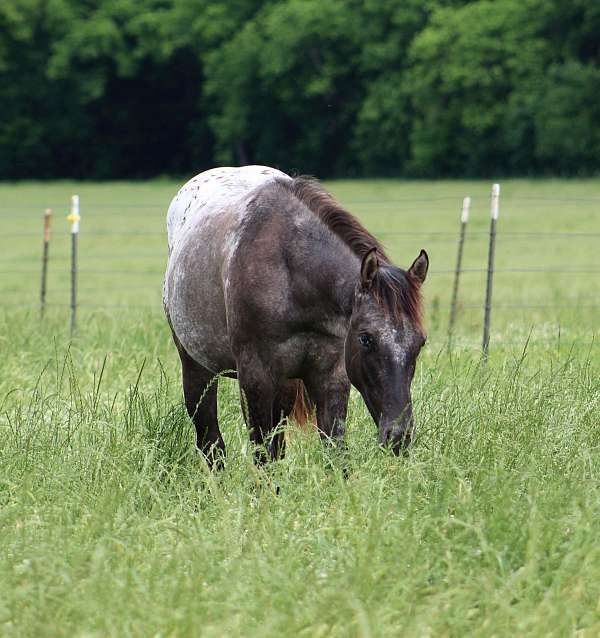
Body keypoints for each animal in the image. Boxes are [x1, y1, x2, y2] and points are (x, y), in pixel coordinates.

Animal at [163, 168, 426, 468]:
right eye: (366, 338)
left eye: (420, 343)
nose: (399, 437)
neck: (292, 276)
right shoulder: (255, 378)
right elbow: (261, 454)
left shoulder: (331, 376)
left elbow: (334, 451)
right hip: (198, 370)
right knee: (211, 442)